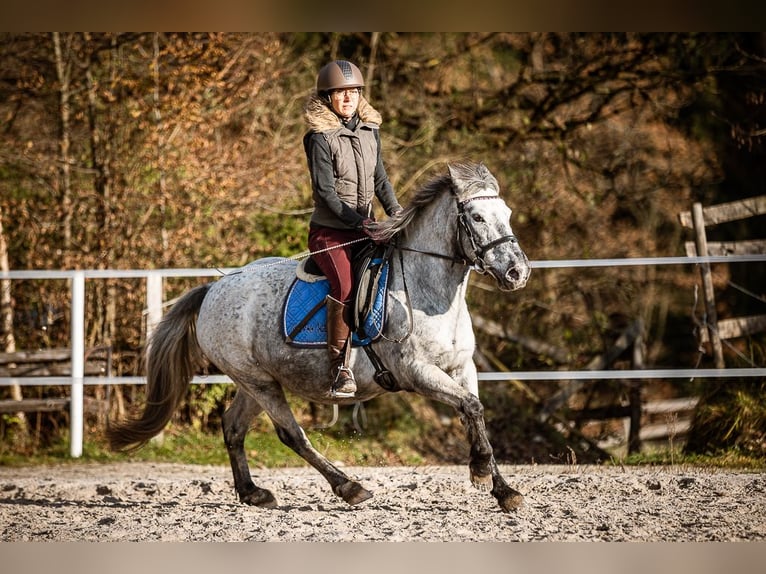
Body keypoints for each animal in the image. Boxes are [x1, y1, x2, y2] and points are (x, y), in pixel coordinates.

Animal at [108, 162, 536, 512]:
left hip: (256, 381)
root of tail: (215, 288)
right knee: (291, 434)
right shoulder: (417, 372)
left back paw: (253, 493)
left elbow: (474, 413)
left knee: (233, 426)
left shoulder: (461, 368)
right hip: (259, 382)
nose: (518, 273)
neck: (429, 292)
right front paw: (480, 472)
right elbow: (471, 408)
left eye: (507, 214)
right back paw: (349, 487)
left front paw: (503, 490)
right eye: (476, 217)